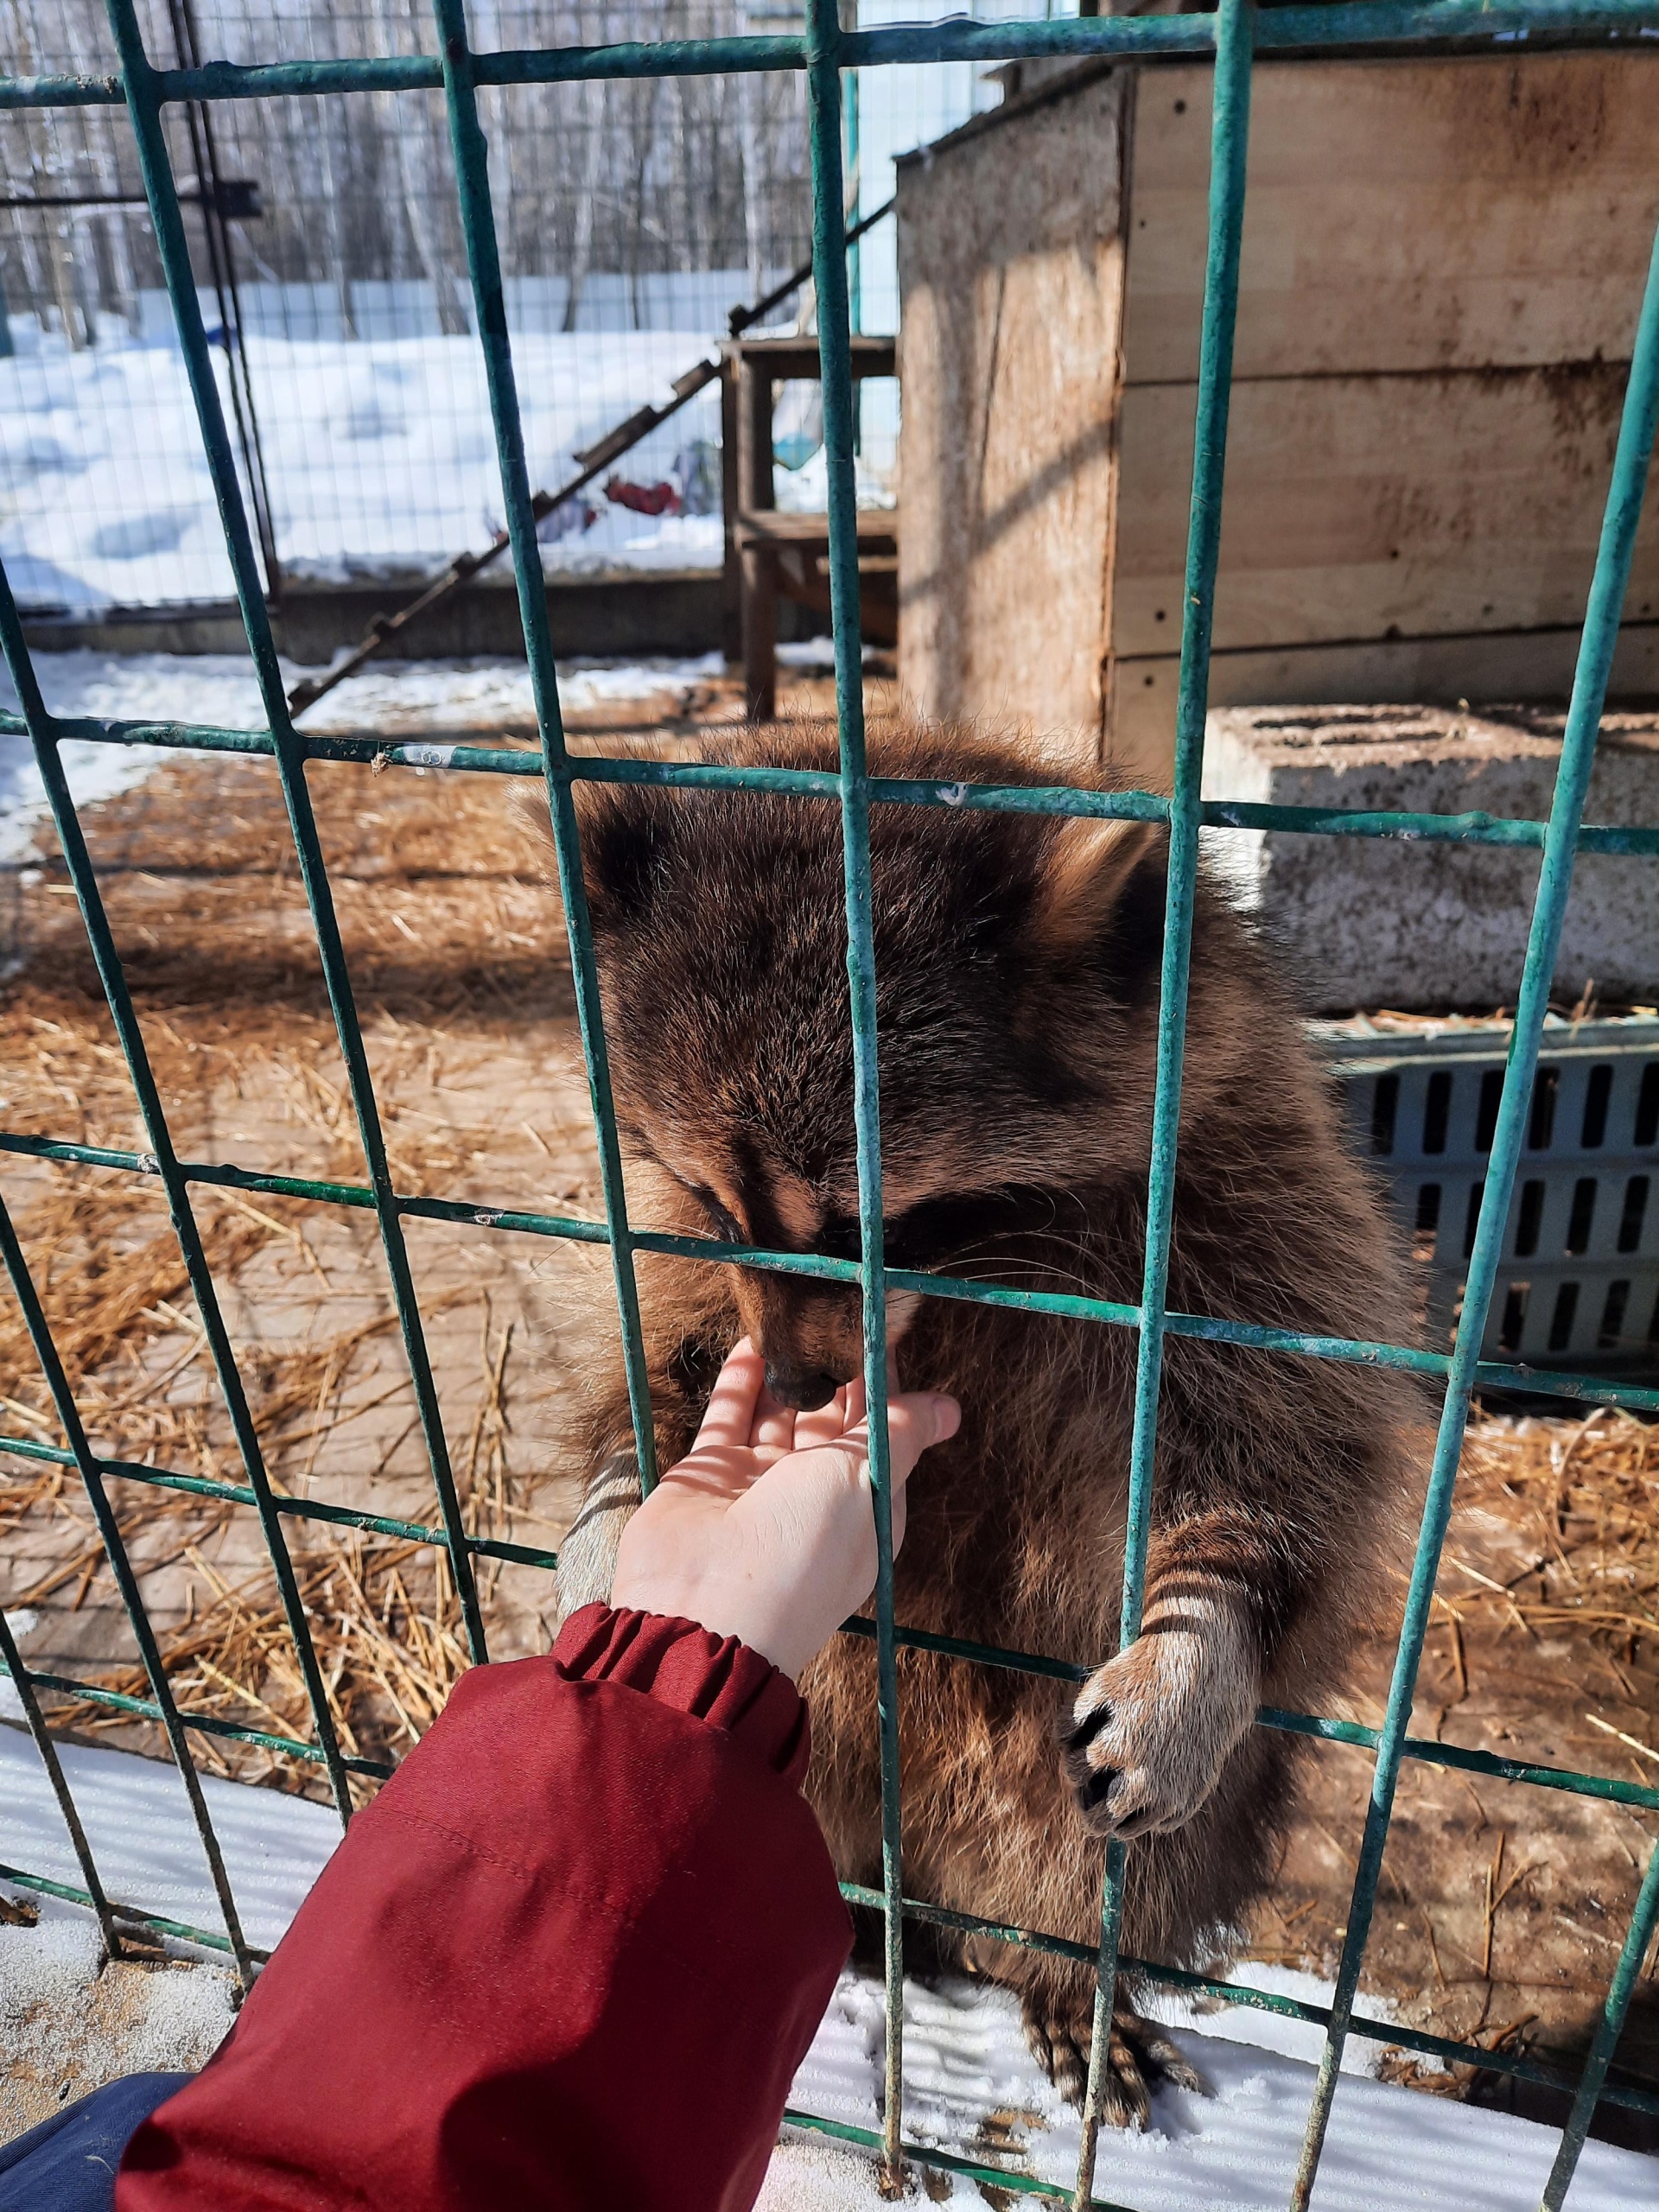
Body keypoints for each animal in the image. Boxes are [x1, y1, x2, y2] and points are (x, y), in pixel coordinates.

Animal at [548, 721, 1415, 2123]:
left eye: (872, 1222)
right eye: (709, 1197)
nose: (798, 1397)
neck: (966, 1285)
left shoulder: (1246, 1193)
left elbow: (1289, 1454)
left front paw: (1210, 1631)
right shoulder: (680, 1260)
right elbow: (653, 1369)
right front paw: (613, 1507)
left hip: (1158, 1819)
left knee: (1108, 1865)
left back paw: (1064, 1975)